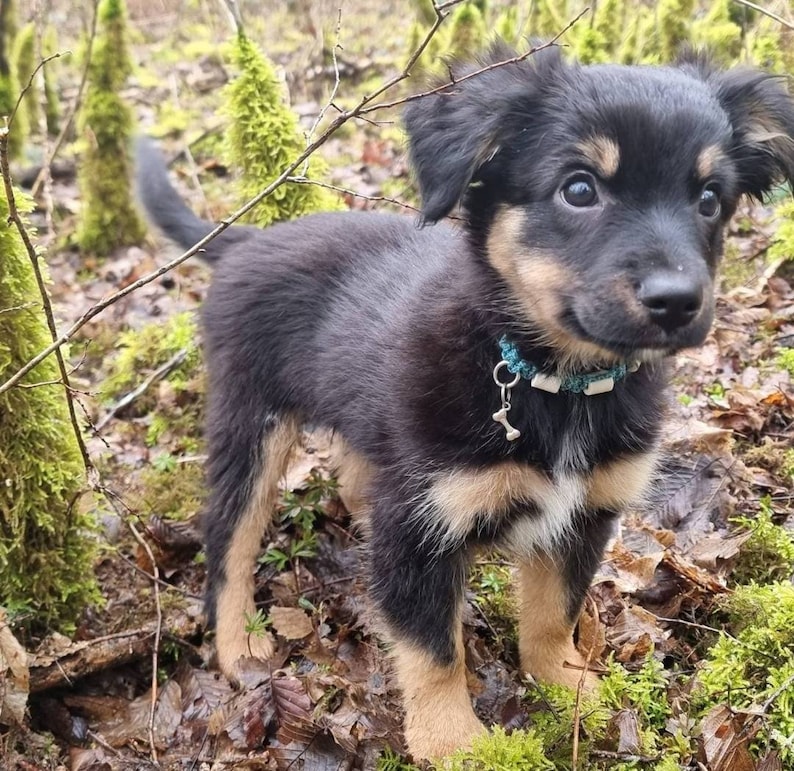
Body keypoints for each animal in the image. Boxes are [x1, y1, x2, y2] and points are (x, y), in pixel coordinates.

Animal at [136, 46, 792, 760]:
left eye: (709, 199)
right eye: (579, 189)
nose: (677, 301)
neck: (553, 381)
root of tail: (249, 238)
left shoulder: (587, 512)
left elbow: (553, 614)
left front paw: (573, 690)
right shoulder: (418, 527)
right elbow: (433, 648)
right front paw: (455, 742)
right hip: (250, 421)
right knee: (229, 543)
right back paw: (238, 649)